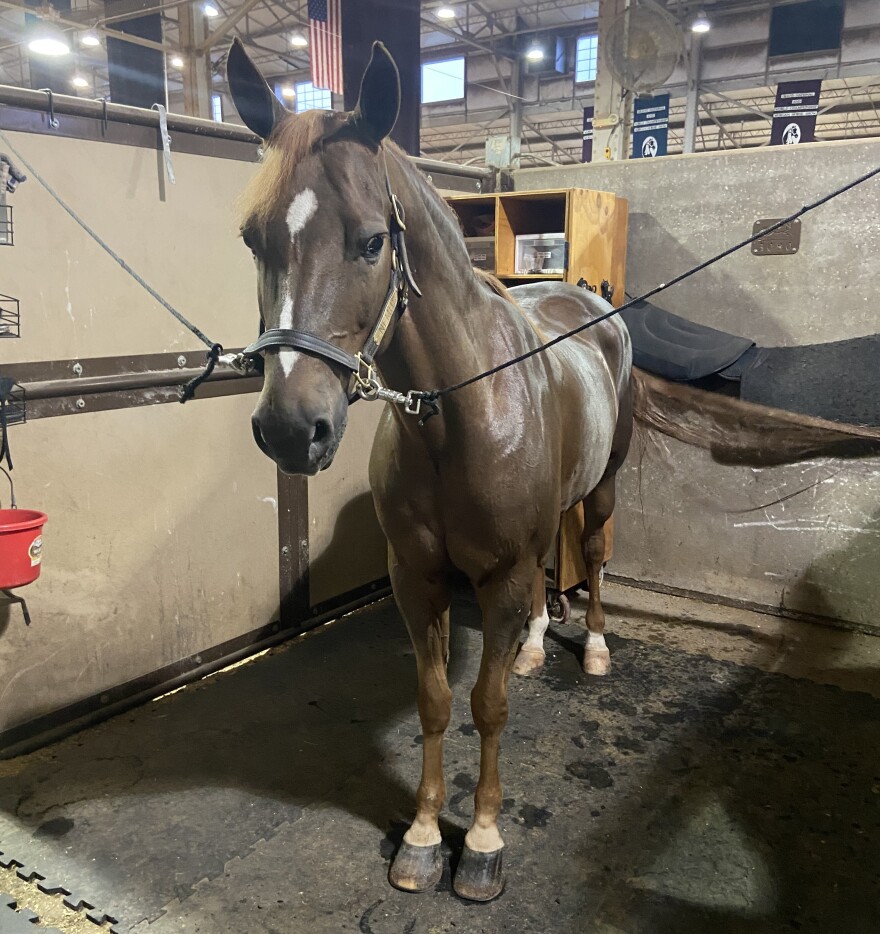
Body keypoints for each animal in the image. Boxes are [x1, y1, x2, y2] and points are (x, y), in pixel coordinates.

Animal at [229, 40, 632, 904]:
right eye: (253, 238)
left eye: (372, 241)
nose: (291, 428)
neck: (460, 416)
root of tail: (592, 300)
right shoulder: (416, 578)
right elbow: (438, 698)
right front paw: (419, 836)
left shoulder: (499, 575)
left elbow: (489, 706)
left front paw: (479, 842)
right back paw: (535, 644)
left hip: (607, 486)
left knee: (595, 556)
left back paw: (592, 648)